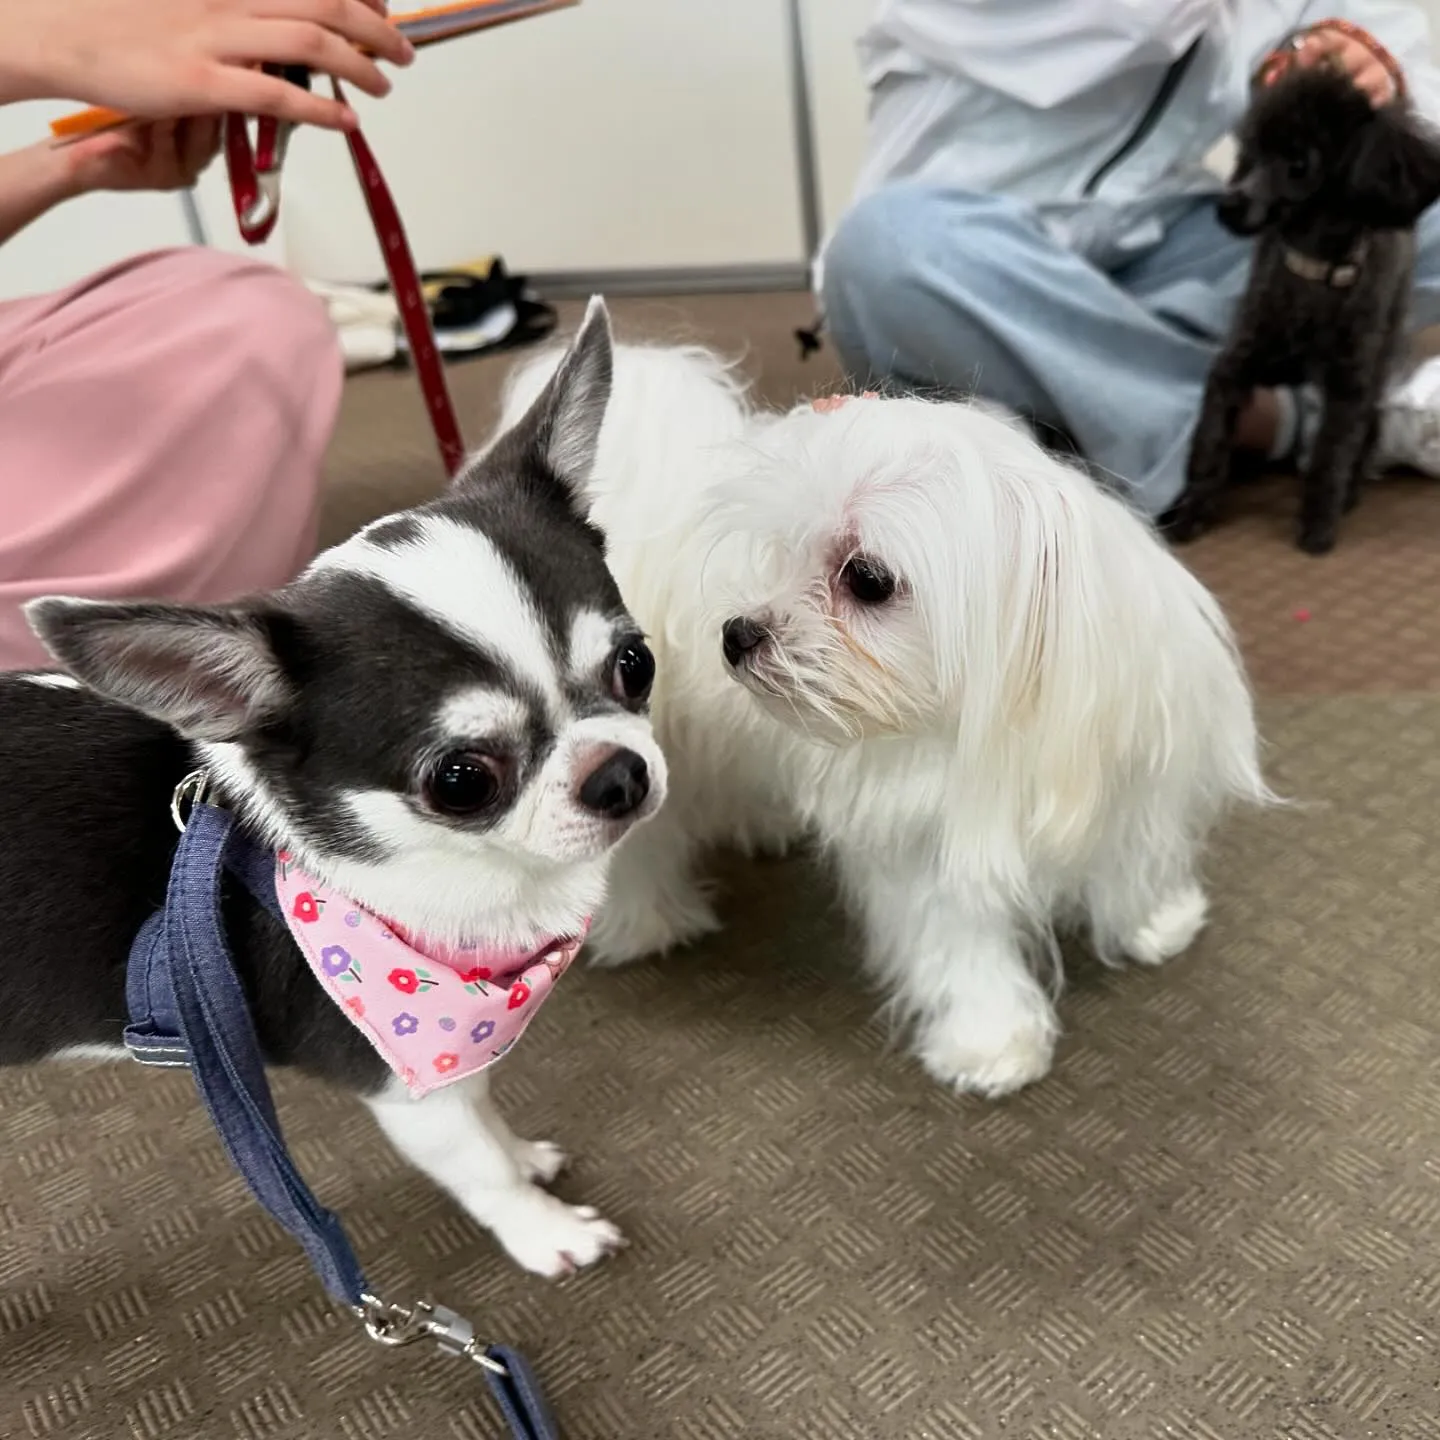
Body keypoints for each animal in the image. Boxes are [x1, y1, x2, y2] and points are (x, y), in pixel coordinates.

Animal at [495, 342, 1272, 1094]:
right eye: (776, 554)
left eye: (867, 579)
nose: (737, 633)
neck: (1004, 714)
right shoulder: (924, 844)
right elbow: (961, 948)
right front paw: (992, 1043)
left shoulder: (1138, 777)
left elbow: (1134, 857)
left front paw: (1156, 922)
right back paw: (646, 925)